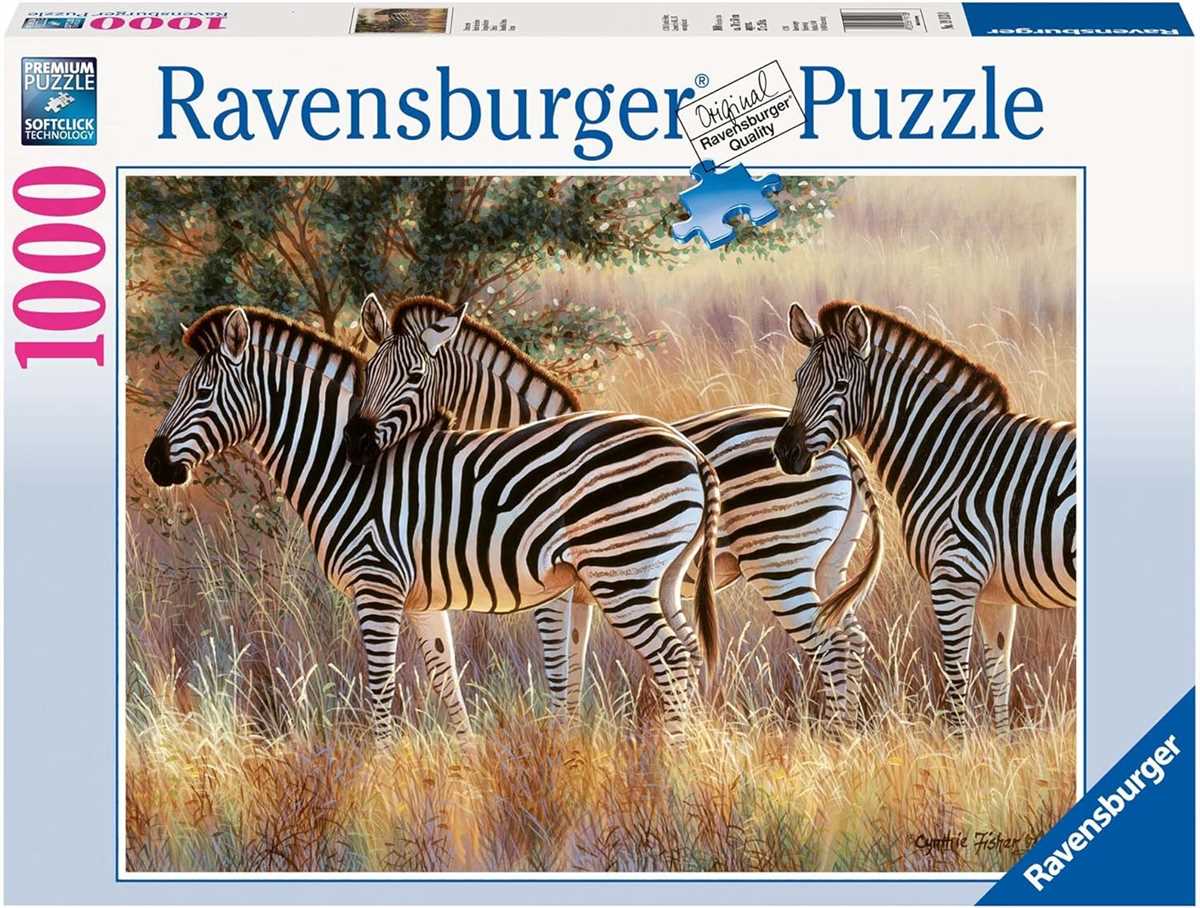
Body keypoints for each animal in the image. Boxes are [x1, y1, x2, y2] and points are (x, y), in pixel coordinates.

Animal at [144, 305, 721, 741]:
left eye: (201, 394)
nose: (152, 462)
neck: (341, 470)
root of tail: (690, 450)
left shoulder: (376, 584)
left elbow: (380, 689)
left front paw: (381, 778)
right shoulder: (421, 599)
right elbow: (448, 685)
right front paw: (463, 780)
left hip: (619, 571)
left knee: (672, 657)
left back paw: (671, 763)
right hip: (662, 574)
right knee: (690, 651)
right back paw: (691, 752)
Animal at [343, 293, 885, 726]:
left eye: (413, 377)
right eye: (368, 373)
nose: (356, 443)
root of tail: (841, 447)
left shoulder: (555, 590)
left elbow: (558, 670)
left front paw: (560, 742)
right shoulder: (580, 590)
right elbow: (572, 668)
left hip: (781, 558)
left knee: (832, 646)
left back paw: (834, 739)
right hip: (827, 562)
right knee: (850, 638)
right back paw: (846, 737)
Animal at [773, 300, 1077, 731]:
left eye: (842, 386)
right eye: (798, 381)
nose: (785, 453)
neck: (951, 457)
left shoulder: (954, 575)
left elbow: (956, 673)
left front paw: (960, 742)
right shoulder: (994, 592)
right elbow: (998, 671)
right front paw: (998, 743)